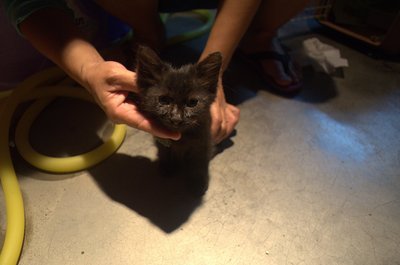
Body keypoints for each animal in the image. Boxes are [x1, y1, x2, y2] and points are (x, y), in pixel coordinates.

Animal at [134, 44, 222, 194]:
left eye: (192, 103)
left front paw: (198, 183)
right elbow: (164, 152)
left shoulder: (203, 143)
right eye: (163, 100)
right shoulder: (161, 139)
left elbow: (199, 164)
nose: (176, 118)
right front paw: (167, 167)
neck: (182, 137)